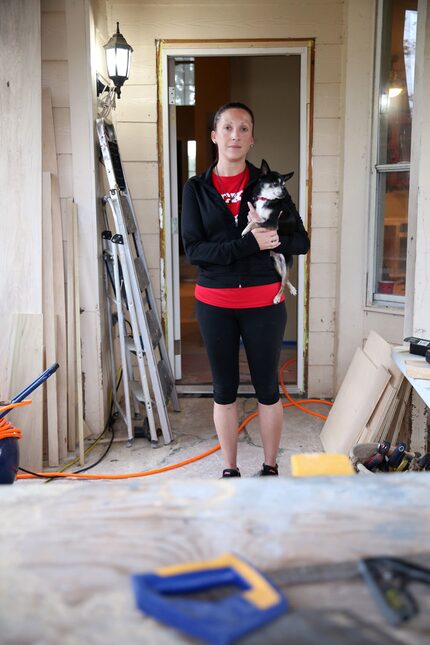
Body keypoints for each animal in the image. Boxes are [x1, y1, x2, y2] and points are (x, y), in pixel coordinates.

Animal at [244, 160, 298, 304]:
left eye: (284, 185)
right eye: (275, 184)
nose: (284, 193)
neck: (265, 200)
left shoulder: (272, 224)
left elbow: (256, 222)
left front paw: (246, 230)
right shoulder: (258, 216)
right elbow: (253, 220)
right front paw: (247, 227)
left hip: (286, 262)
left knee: (283, 281)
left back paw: (278, 297)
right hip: (276, 265)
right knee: (284, 279)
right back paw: (292, 288)